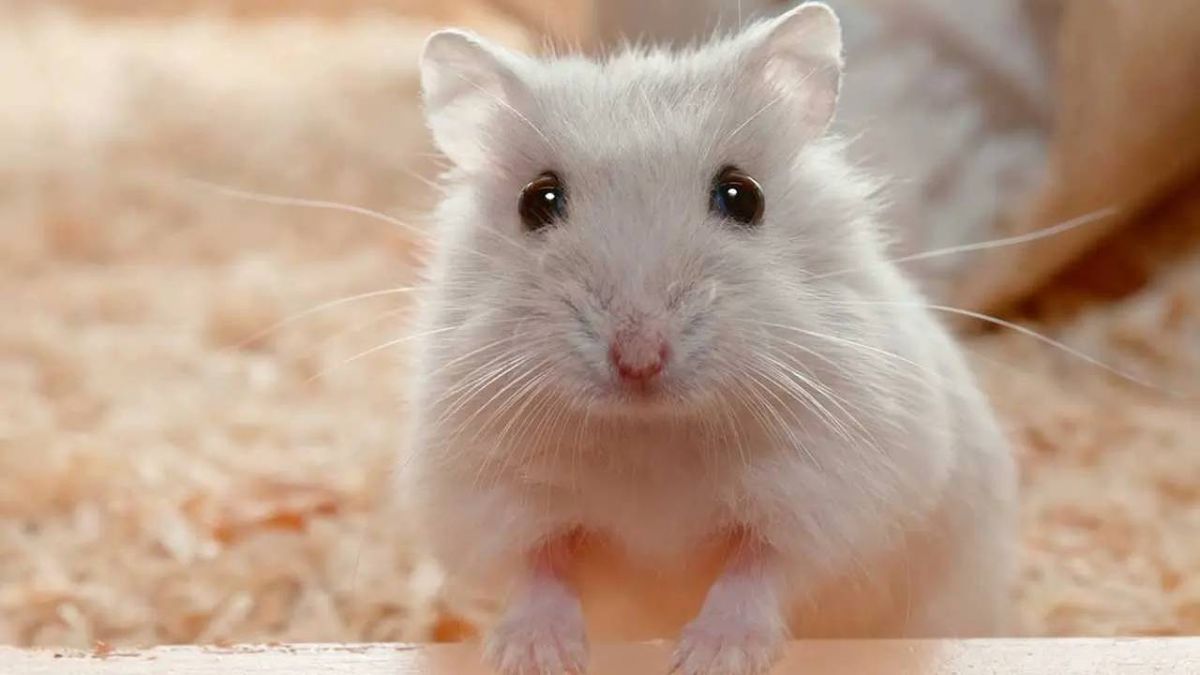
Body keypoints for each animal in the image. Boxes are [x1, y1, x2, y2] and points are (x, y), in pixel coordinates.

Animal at [400, 4, 1018, 674]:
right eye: (537, 200)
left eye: (742, 196)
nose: (638, 359)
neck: (652, 435)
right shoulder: (489, 496)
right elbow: (537, 568)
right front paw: (535, 655)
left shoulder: (830, 492)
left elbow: (759, 570)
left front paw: (710, 656)